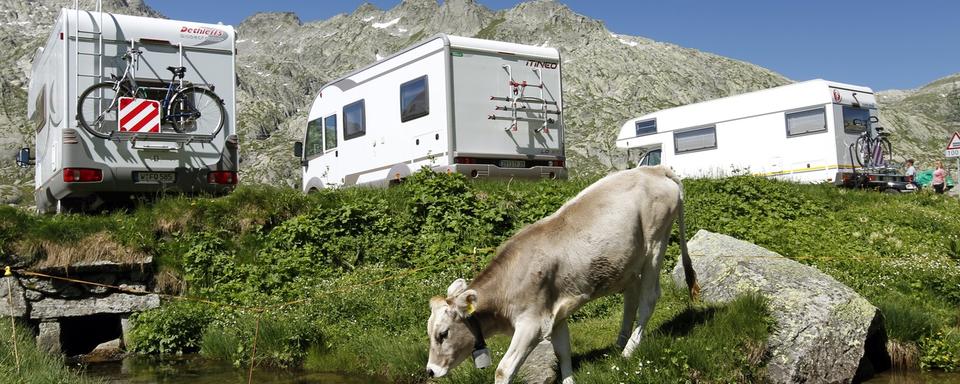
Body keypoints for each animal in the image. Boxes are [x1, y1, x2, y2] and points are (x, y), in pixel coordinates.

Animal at [424, 166, 700, 384]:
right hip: (629, 262)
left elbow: (504, 370)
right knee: (631, 299)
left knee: (648, 298)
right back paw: (620, 344)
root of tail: (654, 169)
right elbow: (563, 352)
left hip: (656, 242)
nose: (430, 371)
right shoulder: (556, 316)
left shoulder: (532, 324)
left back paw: (629, 350)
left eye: (443, 334)